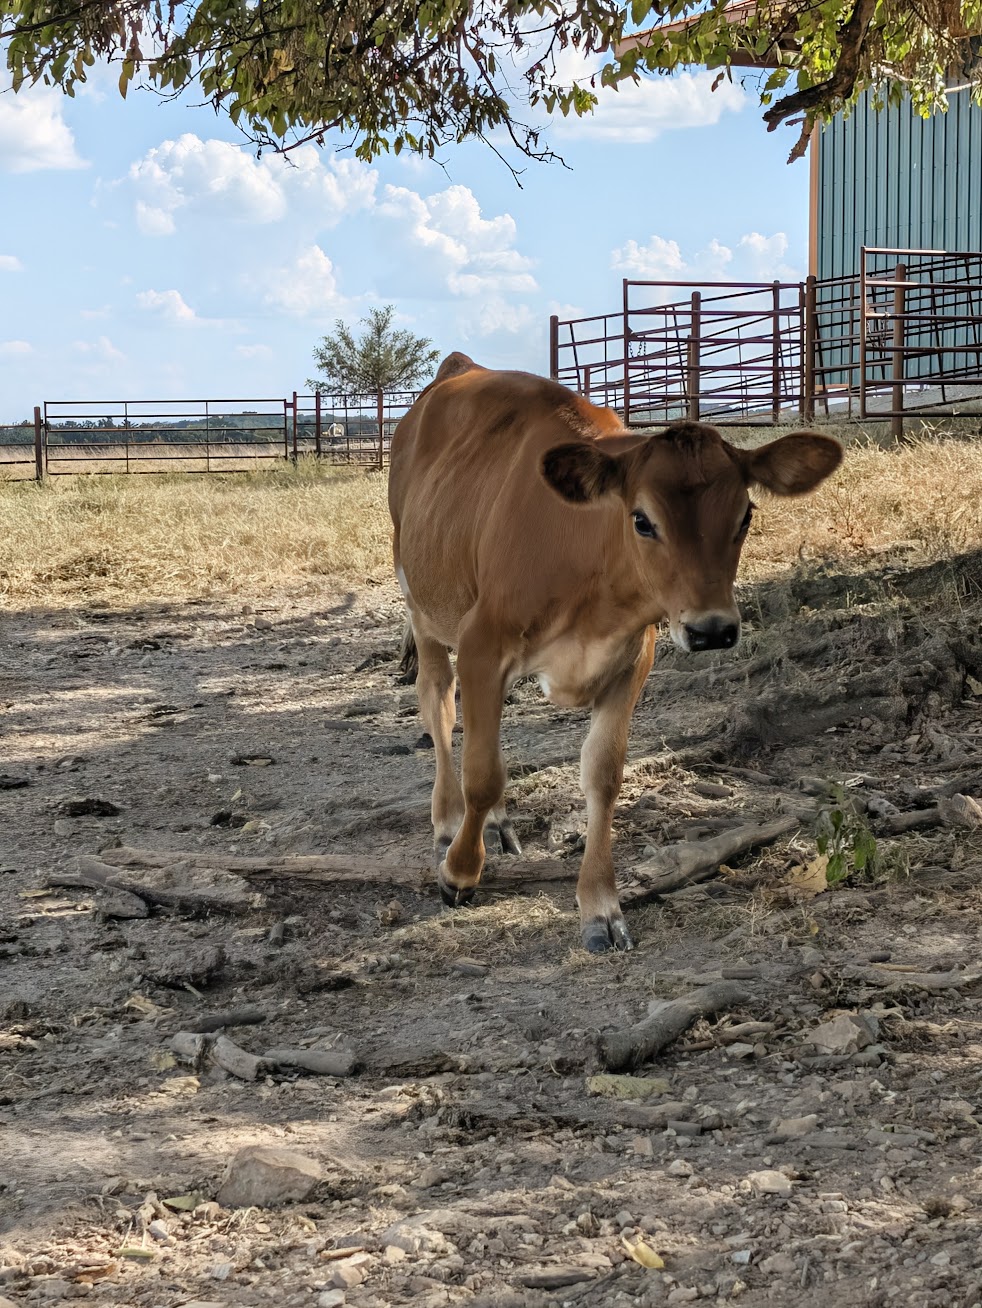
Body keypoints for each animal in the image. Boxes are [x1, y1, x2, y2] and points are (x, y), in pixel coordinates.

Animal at [388, 353, 842, 952]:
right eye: (643, 519)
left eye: (745, 516)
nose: (712, 629)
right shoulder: (482, 642)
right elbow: (483, 774)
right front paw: (460, 872)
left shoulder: (630, 662)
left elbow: (603, 776)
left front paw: (600, 906)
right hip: (423, 603)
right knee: (439, 705)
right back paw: (447, 822)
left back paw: (495, 824)